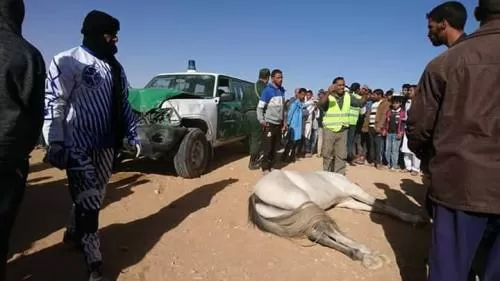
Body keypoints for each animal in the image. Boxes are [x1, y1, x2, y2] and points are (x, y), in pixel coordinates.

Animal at [247, 168, 426, 270]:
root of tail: (256, 193)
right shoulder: (354, 191)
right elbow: (383, 206)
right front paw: (415, 219)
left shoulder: (346, 201)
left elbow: (378, 208)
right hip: (305, 205)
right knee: (325, 230)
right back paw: (367, 254)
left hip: (299, 216)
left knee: (317, 233)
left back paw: (359, 254)